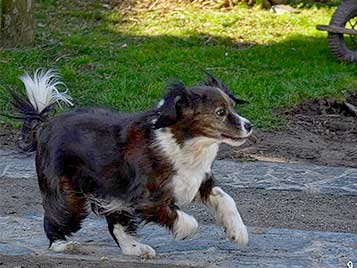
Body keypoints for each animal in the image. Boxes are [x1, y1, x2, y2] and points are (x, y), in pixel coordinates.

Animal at [9, 68, 253, 258]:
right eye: (220, 113)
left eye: (233, 107)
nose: (249, 125)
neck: (183, 142)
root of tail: (44, 125)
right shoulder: (145, 199)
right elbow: (183, 218)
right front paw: (185, 231)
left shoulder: (199, 180)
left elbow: (226, 198)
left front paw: (237, 232)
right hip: (69, 197)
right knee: (56, 218)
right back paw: (62, 245)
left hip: (110, 194)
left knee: (117, 224)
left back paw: (134, 248)